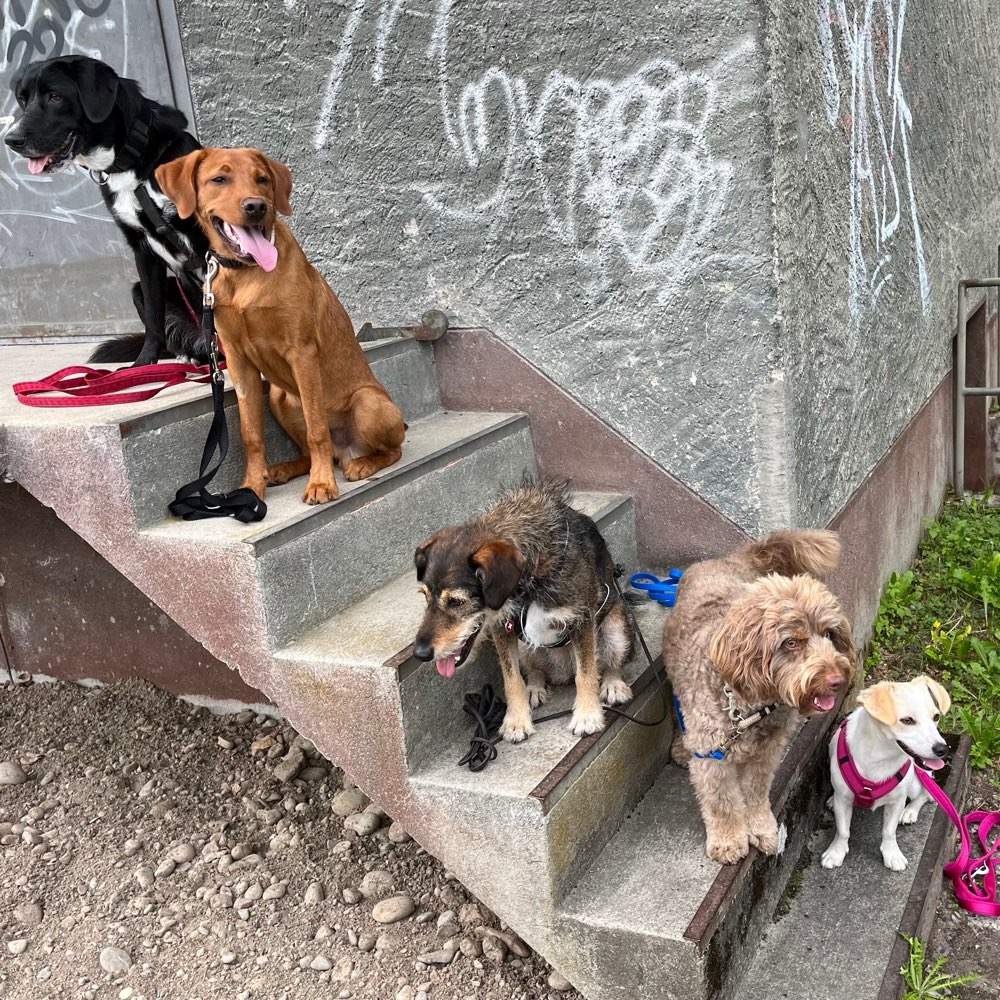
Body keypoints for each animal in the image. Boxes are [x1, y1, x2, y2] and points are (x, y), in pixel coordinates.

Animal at [6, 55, 211, 368]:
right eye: (22, 99)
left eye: (55, 97)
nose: (11, 140)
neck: (131, 164)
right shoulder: (142, 250)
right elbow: (154, 319)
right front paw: (142, 366)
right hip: (140, 290)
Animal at [156, 146, 406, 508]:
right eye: (219, 179)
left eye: (262, 179)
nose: (256, 206)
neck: (245, 274)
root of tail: (346, 449)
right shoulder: (239, 363)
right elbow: (250, 434)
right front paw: (250, 486)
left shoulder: (302, 352)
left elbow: (317, 430)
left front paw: (321, 483)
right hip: (279, 397)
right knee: (312, 452)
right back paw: (283, 469)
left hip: (368, 403)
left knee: (387, 449)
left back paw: (362, 464)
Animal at [668, 532, 856, 868]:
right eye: (791, 642)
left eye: (830, 634)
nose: (837, 680)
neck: (750, 708)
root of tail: (728, 559)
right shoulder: (712, 754)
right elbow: (722, 801)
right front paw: (729, 840)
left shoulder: (767, 752)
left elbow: (756, 790)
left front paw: (761, 827)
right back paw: (680, 745)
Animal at [824, 676, 948, 872]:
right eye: (907, 720)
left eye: (936, 717)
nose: (942, 749)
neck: (880, 756)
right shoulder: (842, 800)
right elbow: (843, 831)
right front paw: (836, 852)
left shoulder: (897, 800)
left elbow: (889, 831)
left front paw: (892, 854)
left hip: (914, 784)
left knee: (924, 795)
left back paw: (910, 811)